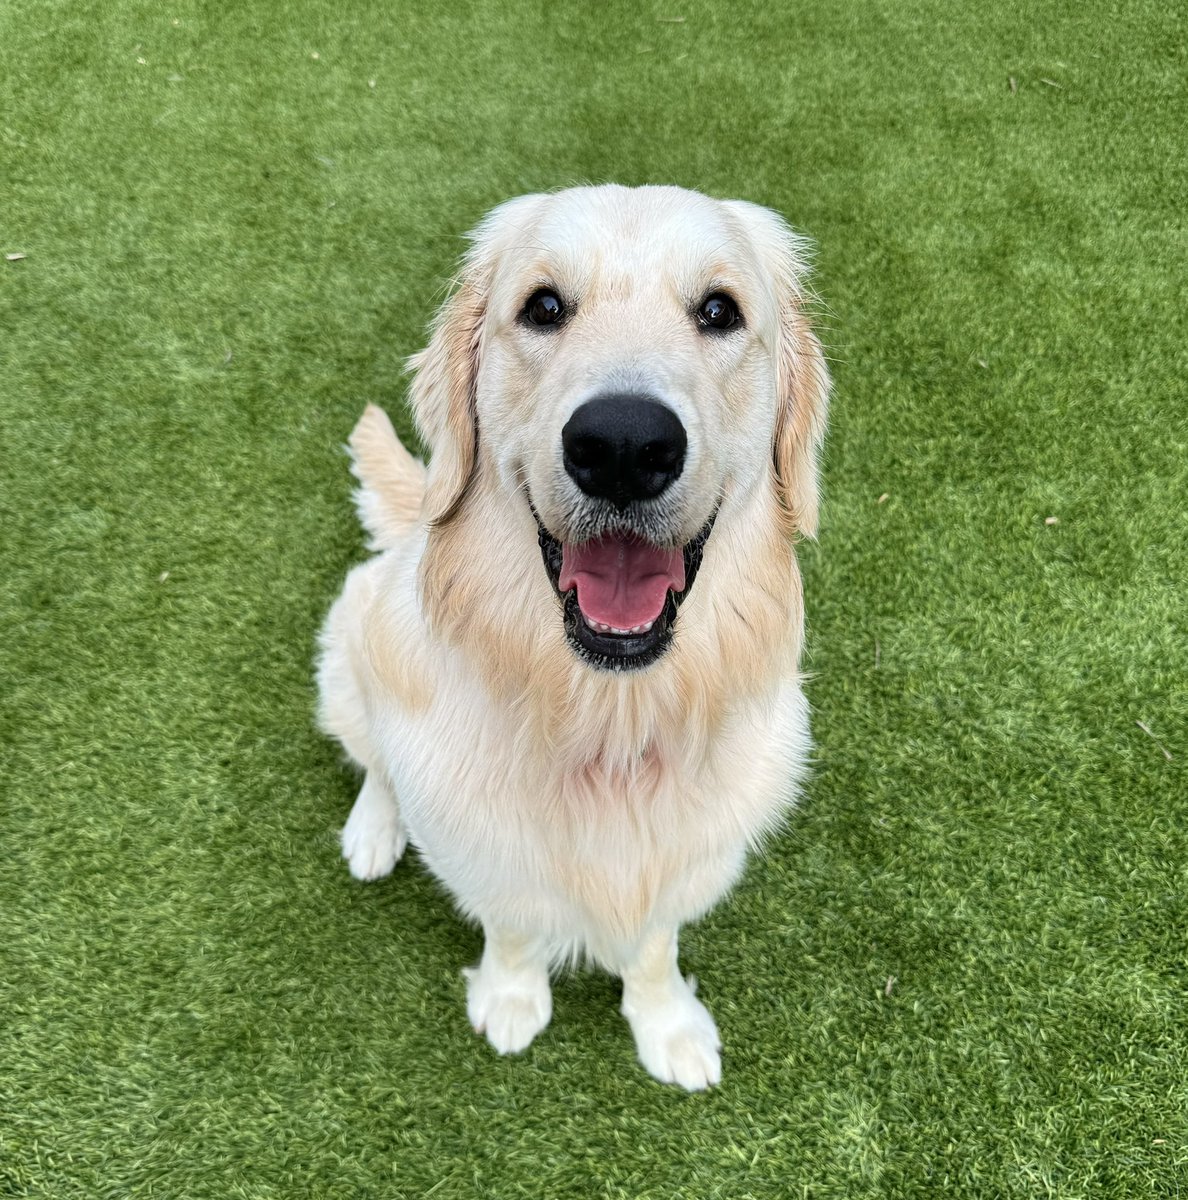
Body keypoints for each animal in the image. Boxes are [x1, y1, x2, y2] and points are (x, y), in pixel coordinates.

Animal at [321, 184, 830, 1089]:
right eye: (545, 307)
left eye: (719, 310)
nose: (624, 444)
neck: (606, 718)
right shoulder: (488, 854)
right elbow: (515, 927)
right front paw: (512, 999)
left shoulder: (684, 862)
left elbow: (654, 949)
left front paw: (667, 1028)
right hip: (352, 639)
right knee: (374, 761)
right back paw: (373, 831)